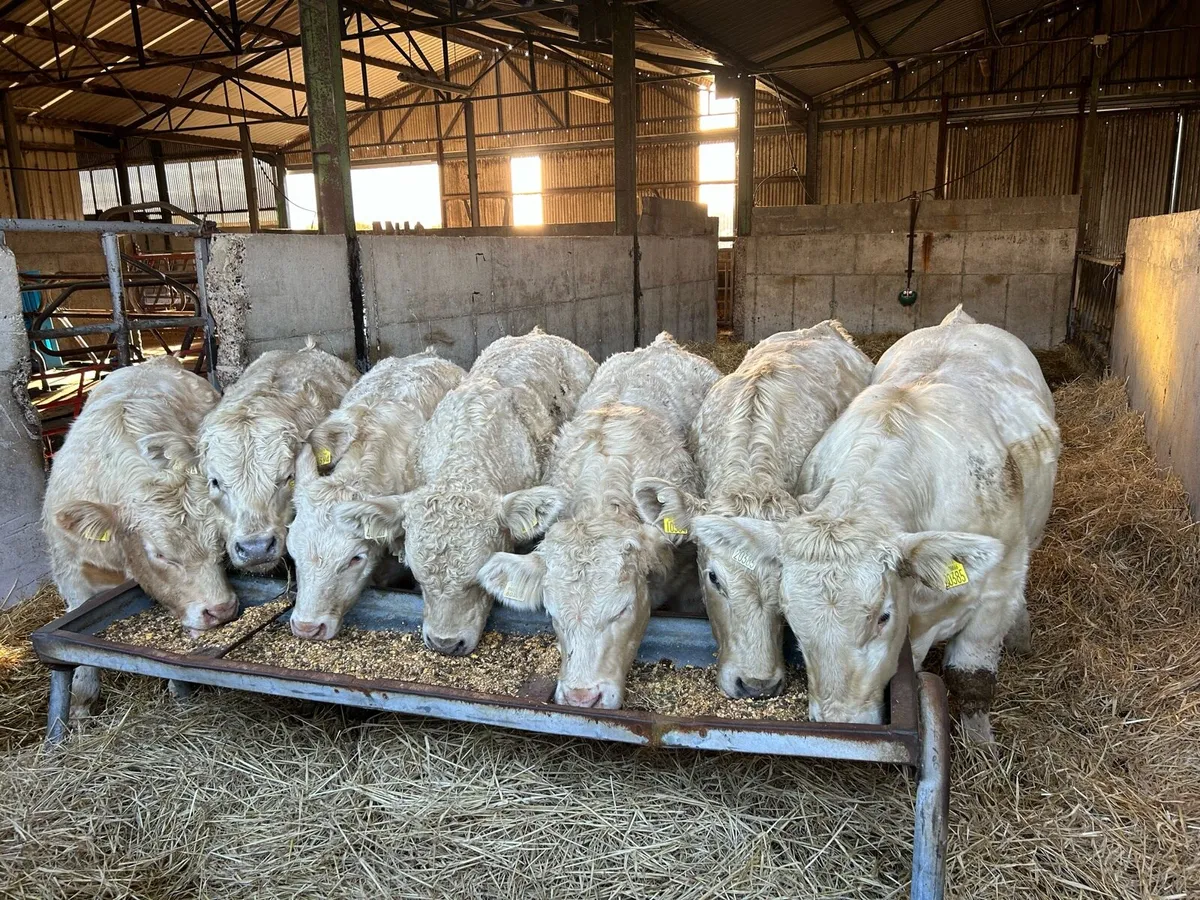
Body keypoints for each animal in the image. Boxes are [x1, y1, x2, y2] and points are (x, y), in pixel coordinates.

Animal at [42, 356, 236, 715]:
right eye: (160, 554)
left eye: (219, 547)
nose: (222, 610)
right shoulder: (71, 573)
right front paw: (80, 703)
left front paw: (178, 687)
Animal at [689, 307, 1060, 741]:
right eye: (713, 578)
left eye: (883, 617)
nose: (755, 685)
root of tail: (960, 321)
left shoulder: (995, 595)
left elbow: (972, 678)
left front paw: (981, 742)